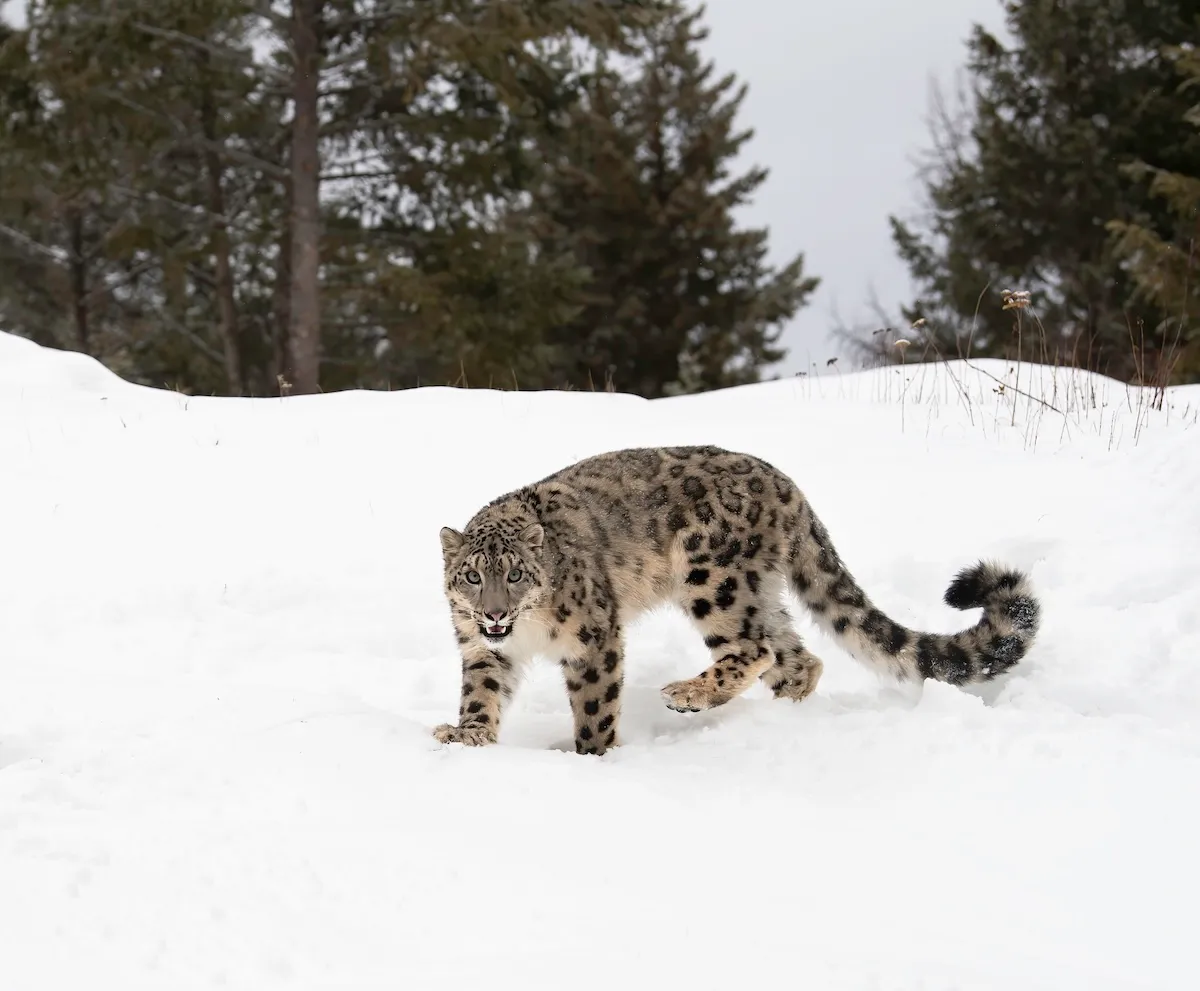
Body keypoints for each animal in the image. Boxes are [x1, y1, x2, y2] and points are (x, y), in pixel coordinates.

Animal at [432, 445, 1040, 756]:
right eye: (472, 576)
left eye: (516, 573)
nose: (494, 612)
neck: (525, 632)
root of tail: (787, 485)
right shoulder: (480, 649)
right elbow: (481, 691)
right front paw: (467, 734)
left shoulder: (593, 639)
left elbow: (594, 707)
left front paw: (590, 756)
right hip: (755, 592)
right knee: (796, 655)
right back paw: (777, 714)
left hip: (713, 577)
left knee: (756, 648)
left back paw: (688, 694)